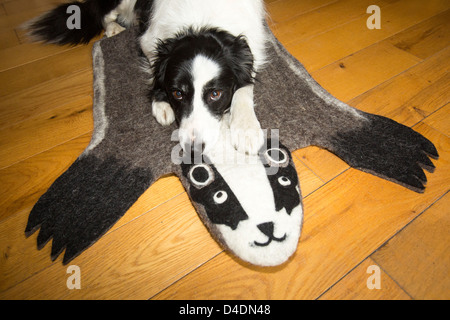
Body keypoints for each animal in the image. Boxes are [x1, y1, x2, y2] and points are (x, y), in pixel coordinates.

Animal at [28, 0, 268, 155]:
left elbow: (244, 86)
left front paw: (246, 128)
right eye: (177, 93)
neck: (202, 22)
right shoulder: (149, 39)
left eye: (216, 94)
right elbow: (155, 69)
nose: (193, 149)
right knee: (104, 14)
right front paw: (161, 103)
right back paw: (113, 28)